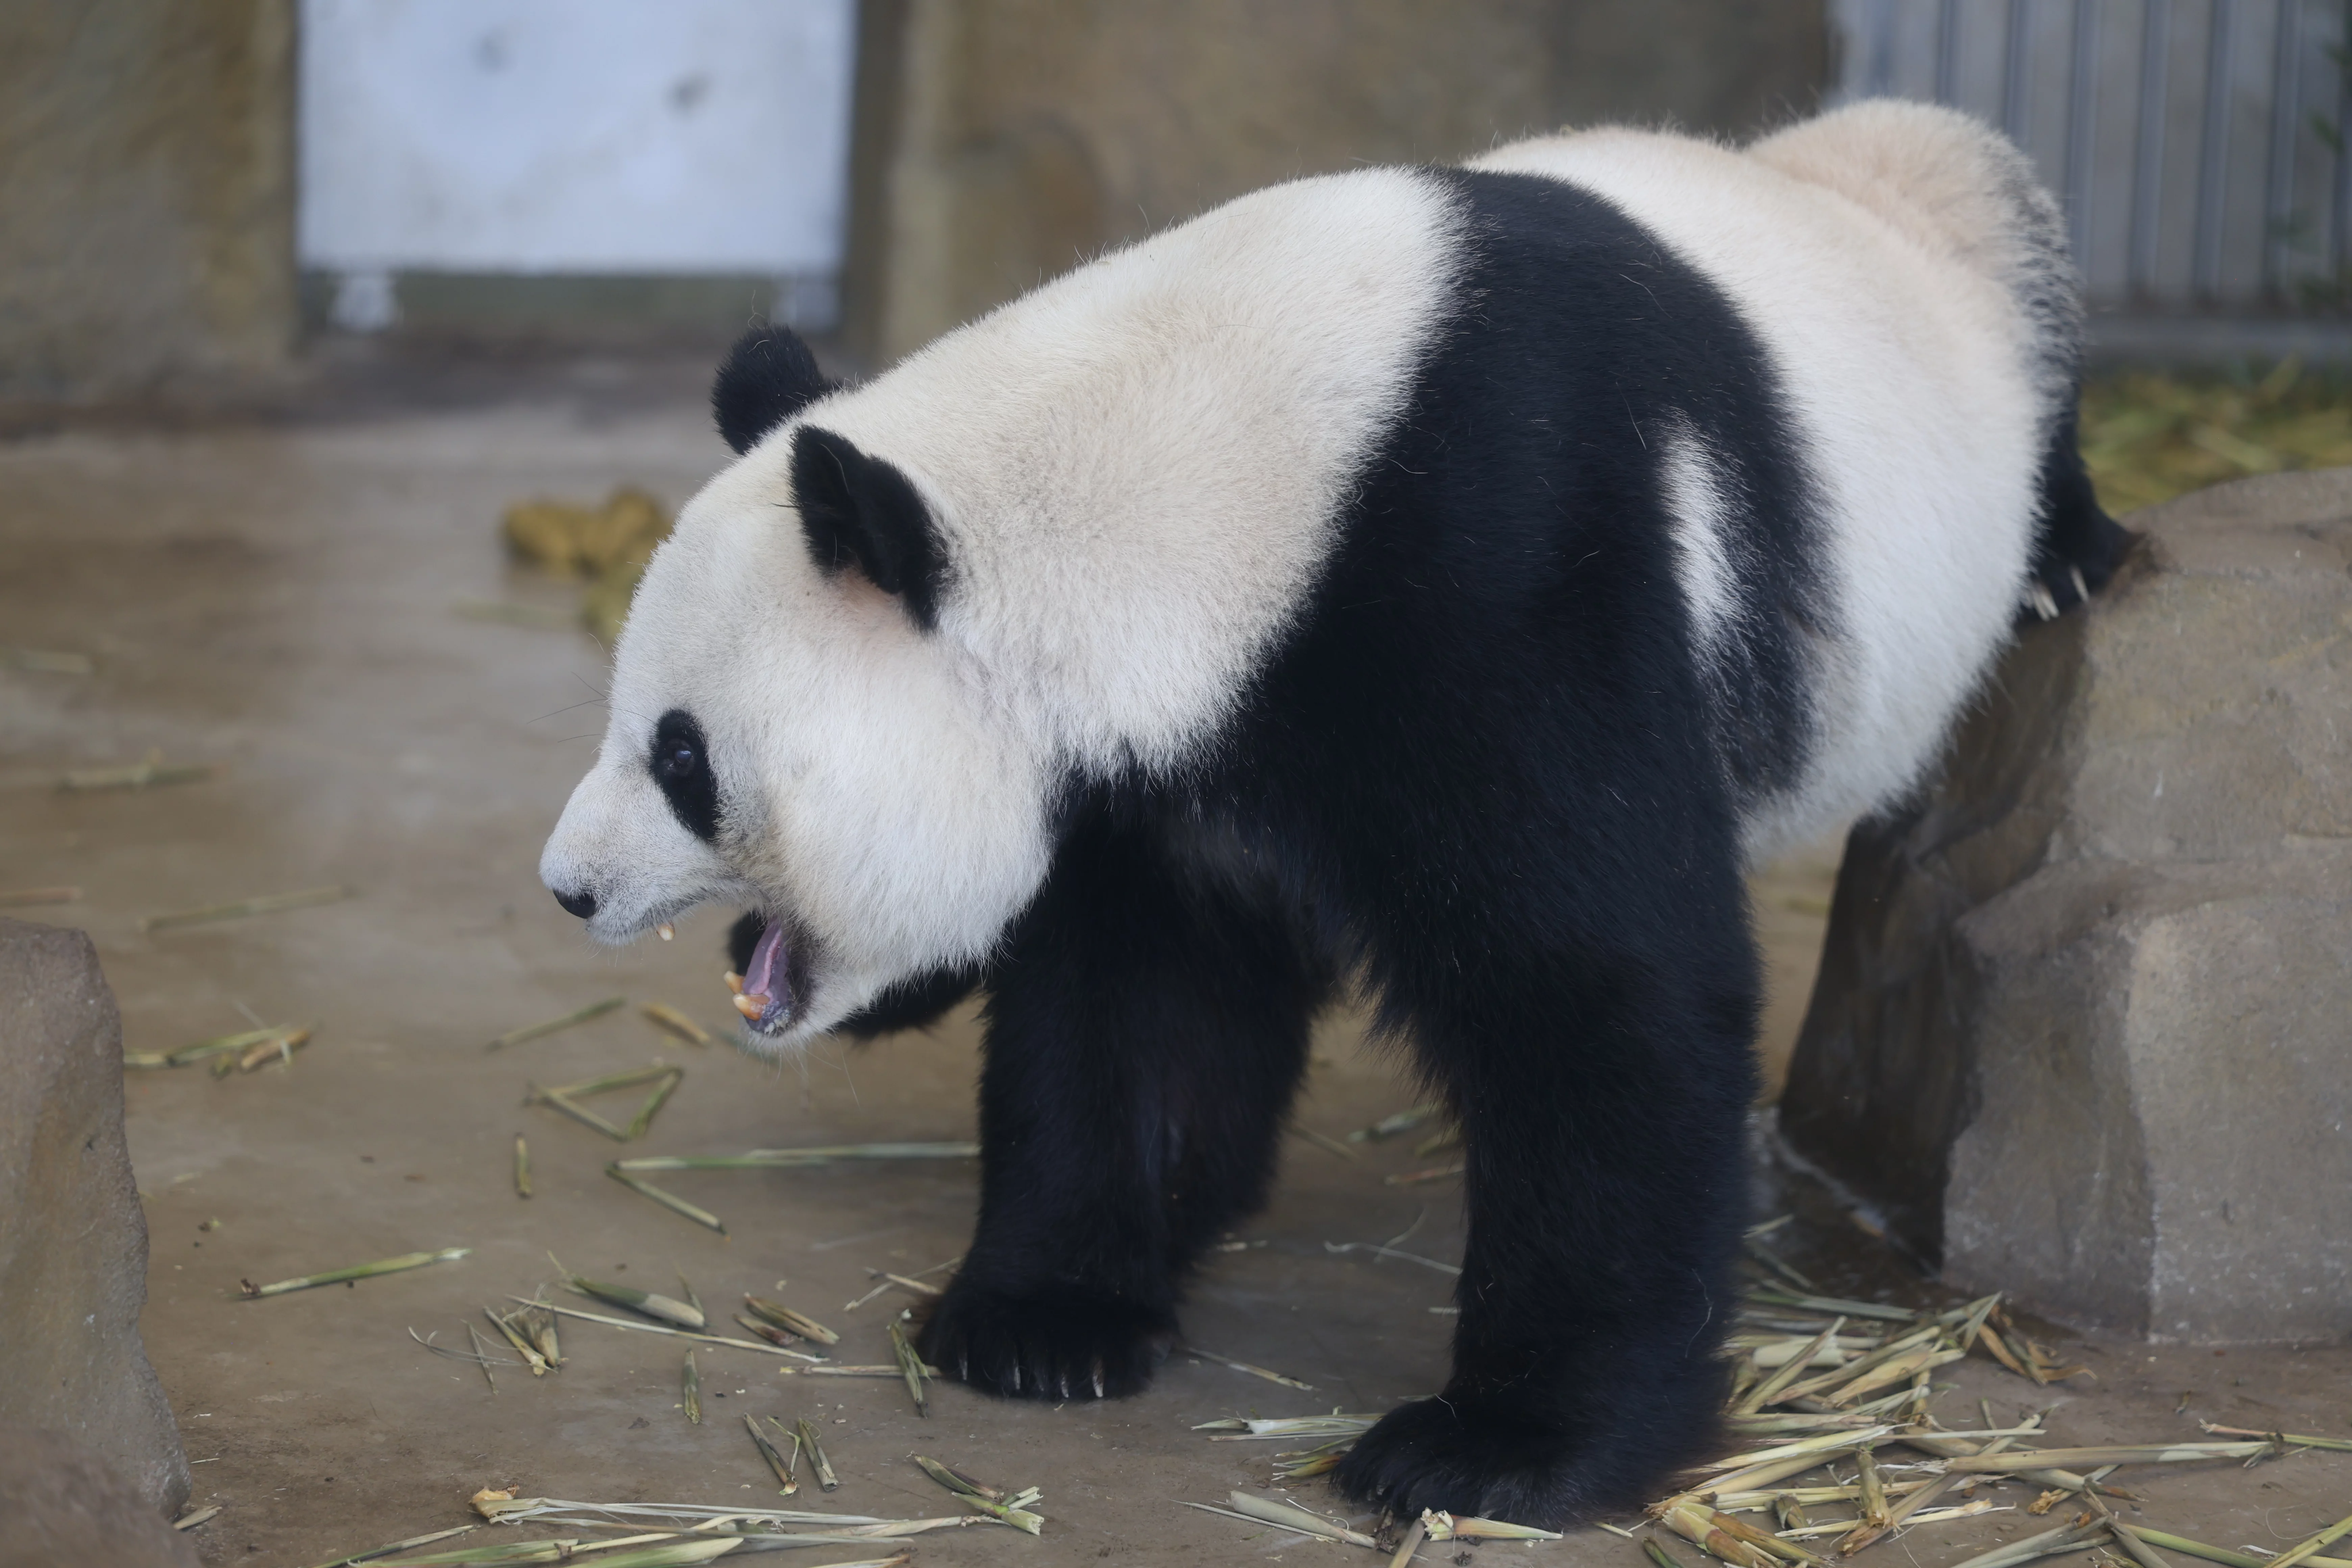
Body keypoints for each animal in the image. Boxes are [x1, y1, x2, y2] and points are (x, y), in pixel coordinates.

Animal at [541, 100, 2126, 1524]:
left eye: (681, 756)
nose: (570, 887)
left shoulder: (1497, 569)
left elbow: (1594, 991)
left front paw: (1499, 1448)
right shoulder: (1170, 754)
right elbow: (1142, 999)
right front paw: (1048, 1317)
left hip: (1960, 262)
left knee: (2020, 276)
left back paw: (2067, 554)